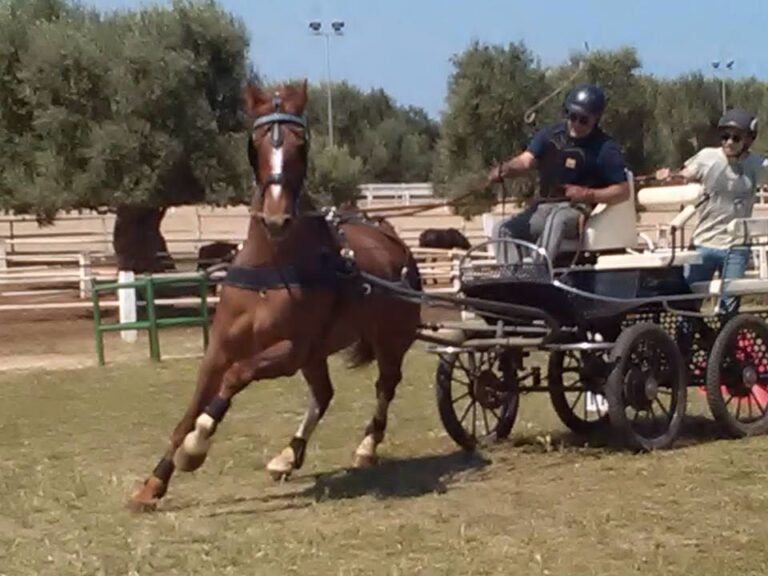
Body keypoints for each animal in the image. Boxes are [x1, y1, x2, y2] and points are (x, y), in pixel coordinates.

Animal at [127, 80, 422, 511]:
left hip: (389, 341)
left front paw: (196, 447)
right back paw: (289, 455)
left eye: (302, 144)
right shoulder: (220, 348)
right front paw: (154, 483)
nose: (276, 218)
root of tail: (394, 240)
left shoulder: (289, 352)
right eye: (256, 143)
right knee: (324, 394)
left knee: (386, 385)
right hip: (319, 354)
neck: (270, 269)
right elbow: (191, 409)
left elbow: (235, 378)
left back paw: (367, 447)